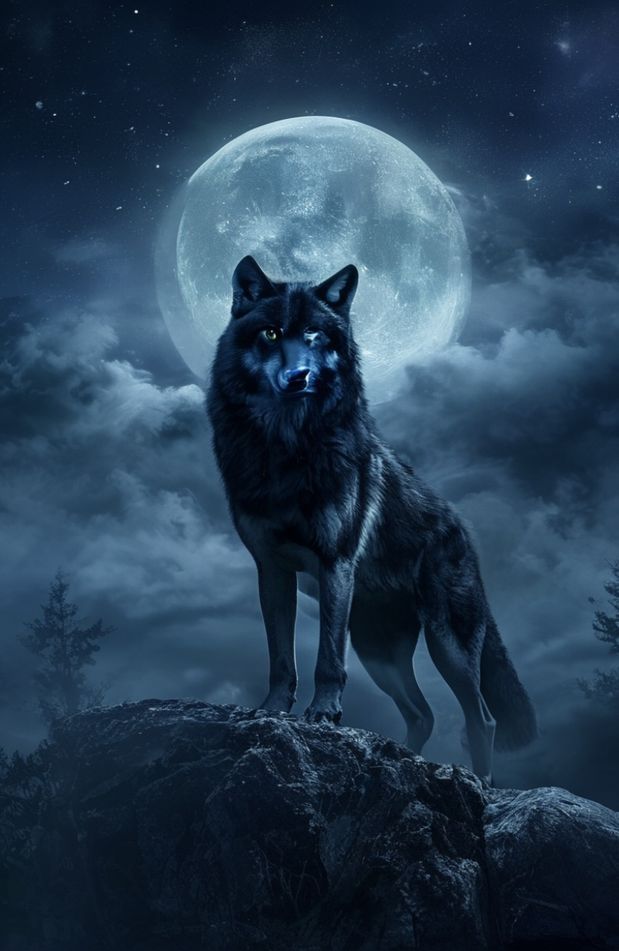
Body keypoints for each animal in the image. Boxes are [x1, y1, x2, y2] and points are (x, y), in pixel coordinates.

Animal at [207, 255, 537, 781]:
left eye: (317, 335)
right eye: (272, 333)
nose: (299, 377)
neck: (285, 447)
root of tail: (461, 529)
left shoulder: (335, 564)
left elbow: (326, 660)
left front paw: (322, 715)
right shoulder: (272, 571)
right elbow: (281, 657)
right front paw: (272, 711)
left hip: (447, 646)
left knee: (480, 717)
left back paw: (479, 784)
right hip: (379, 653)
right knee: (423, 714)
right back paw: (403, 761)